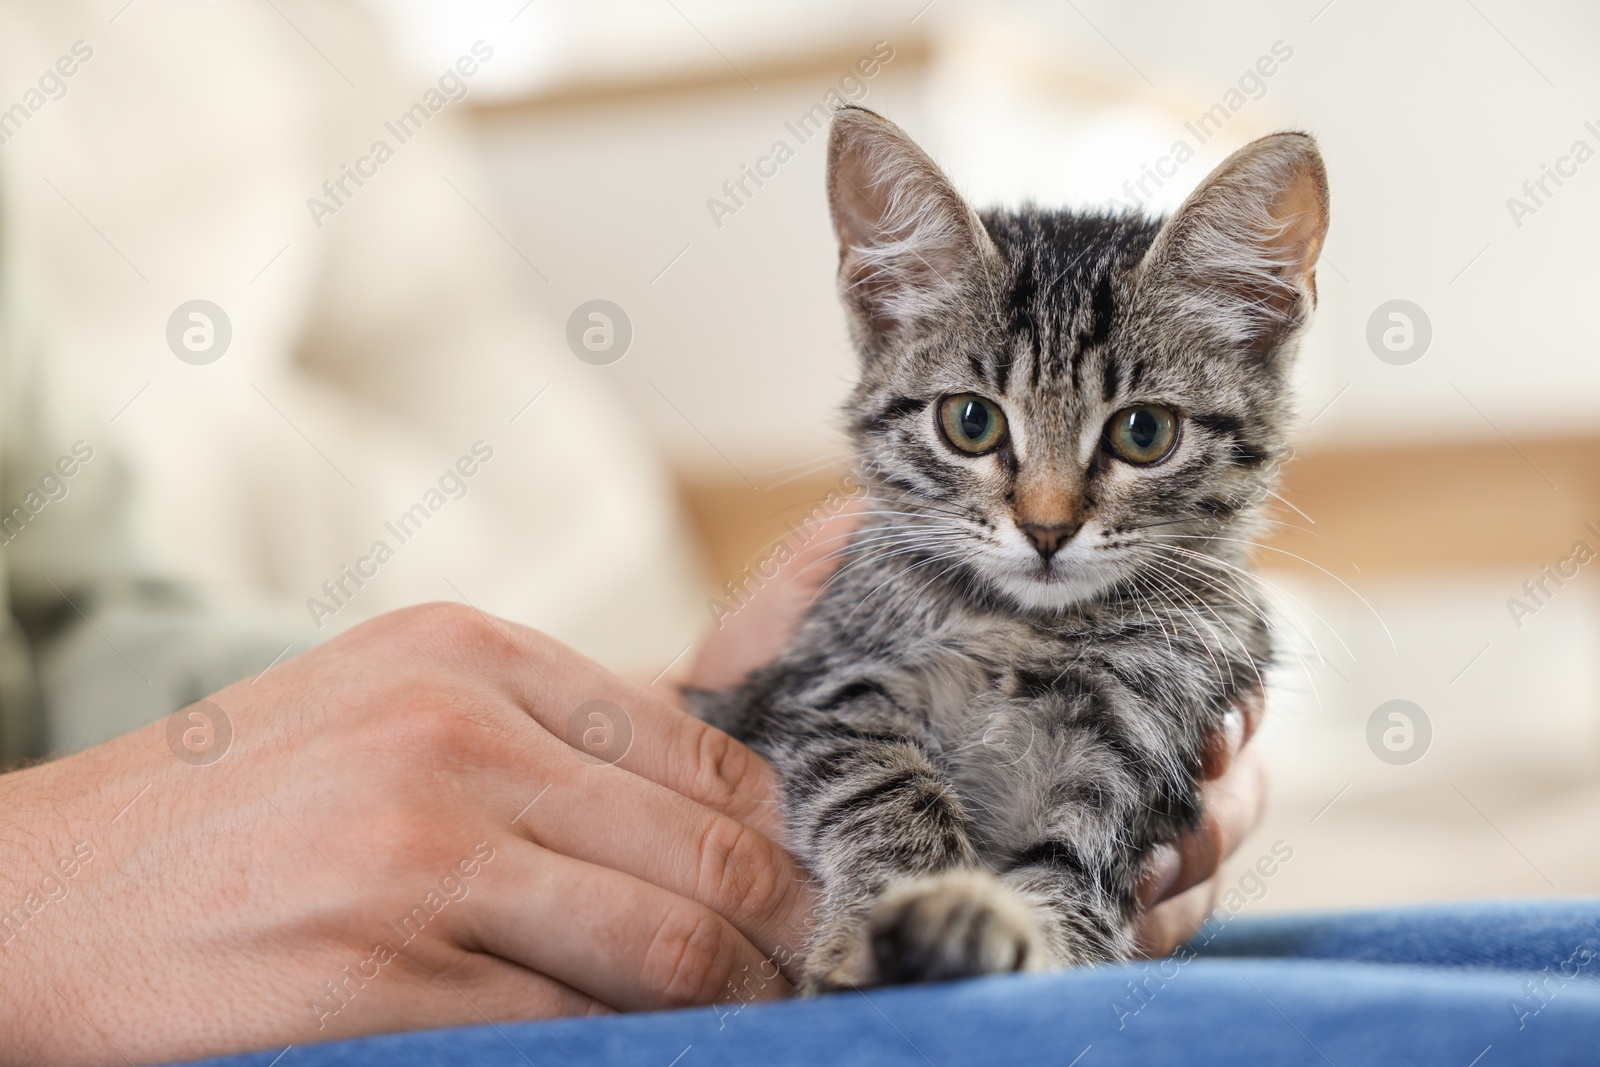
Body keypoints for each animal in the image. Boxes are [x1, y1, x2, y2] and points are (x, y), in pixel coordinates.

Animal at [694, 103, 1331, 991]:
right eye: (971, 421)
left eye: (1145, 432)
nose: (1047, 528)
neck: (1031, 631)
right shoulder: (816, 691)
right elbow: (882, 784)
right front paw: (881, 918)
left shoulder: (1135, 761)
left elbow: (1069, 880)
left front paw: (982, 924)